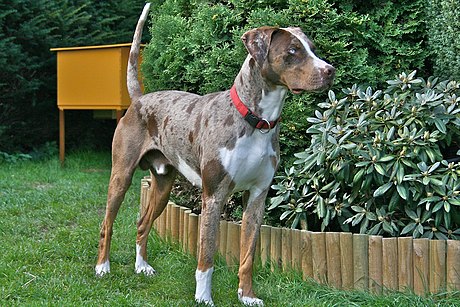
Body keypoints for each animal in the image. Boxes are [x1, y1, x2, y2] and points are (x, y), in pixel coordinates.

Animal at [96, 3, 334, 307]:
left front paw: (247, 296)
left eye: (312, 48)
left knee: (142, 223)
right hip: (121, 176)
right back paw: (102, 267)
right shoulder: (214, 196)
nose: (330, 71)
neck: (256, 121)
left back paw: (142, 266)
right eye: (293, 50)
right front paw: (203, 298)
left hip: (163, 185)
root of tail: (139, 99)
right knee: (107, 223)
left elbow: (248, 256)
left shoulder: (257, 197)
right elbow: (206, 256)